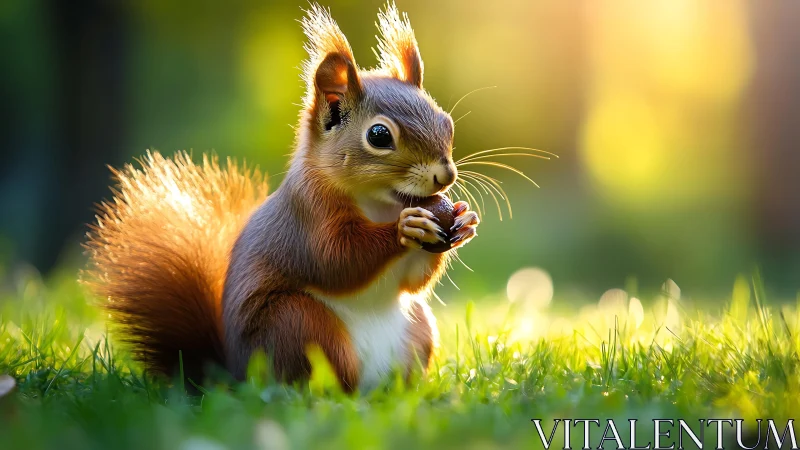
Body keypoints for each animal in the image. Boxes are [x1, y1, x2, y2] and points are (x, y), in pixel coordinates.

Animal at [82, 3, 479, 392]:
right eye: (379, 135)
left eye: (446, 122)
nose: (446, 176)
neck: (380, 204)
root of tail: (233, 377)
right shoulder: (307, 214)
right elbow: (337, 260)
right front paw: (406, 228)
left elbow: (413, 281)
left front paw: (463, 220)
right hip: (298, 323)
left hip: (416, 329)